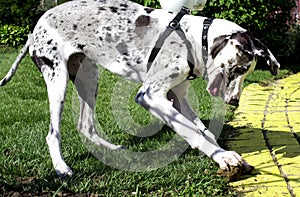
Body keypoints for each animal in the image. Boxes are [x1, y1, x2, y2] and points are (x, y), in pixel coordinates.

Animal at [1, 0, 280, 179]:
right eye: (238, 69)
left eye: (246, 72)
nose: (234, 102)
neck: (193, 39)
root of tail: (37, 25)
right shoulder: (151, 96)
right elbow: (194, 133)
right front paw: (223, 157)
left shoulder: (179, 98)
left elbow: (204, 131)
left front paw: (223, 153)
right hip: (57, 81)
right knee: (53, 134)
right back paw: (61, 167)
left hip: (89, 77)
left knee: (85, 125)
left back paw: (113, 150)